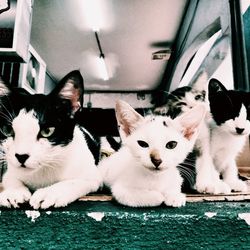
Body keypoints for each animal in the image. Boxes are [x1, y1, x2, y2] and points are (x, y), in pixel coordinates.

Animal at [0, 70, 102, 209]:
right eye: (7, 130)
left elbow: (75, 181)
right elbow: (9, 178)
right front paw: (14, 192)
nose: (21, 156)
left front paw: (49, 193)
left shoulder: (93, 176)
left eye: (47, 131)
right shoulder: (10, 169)